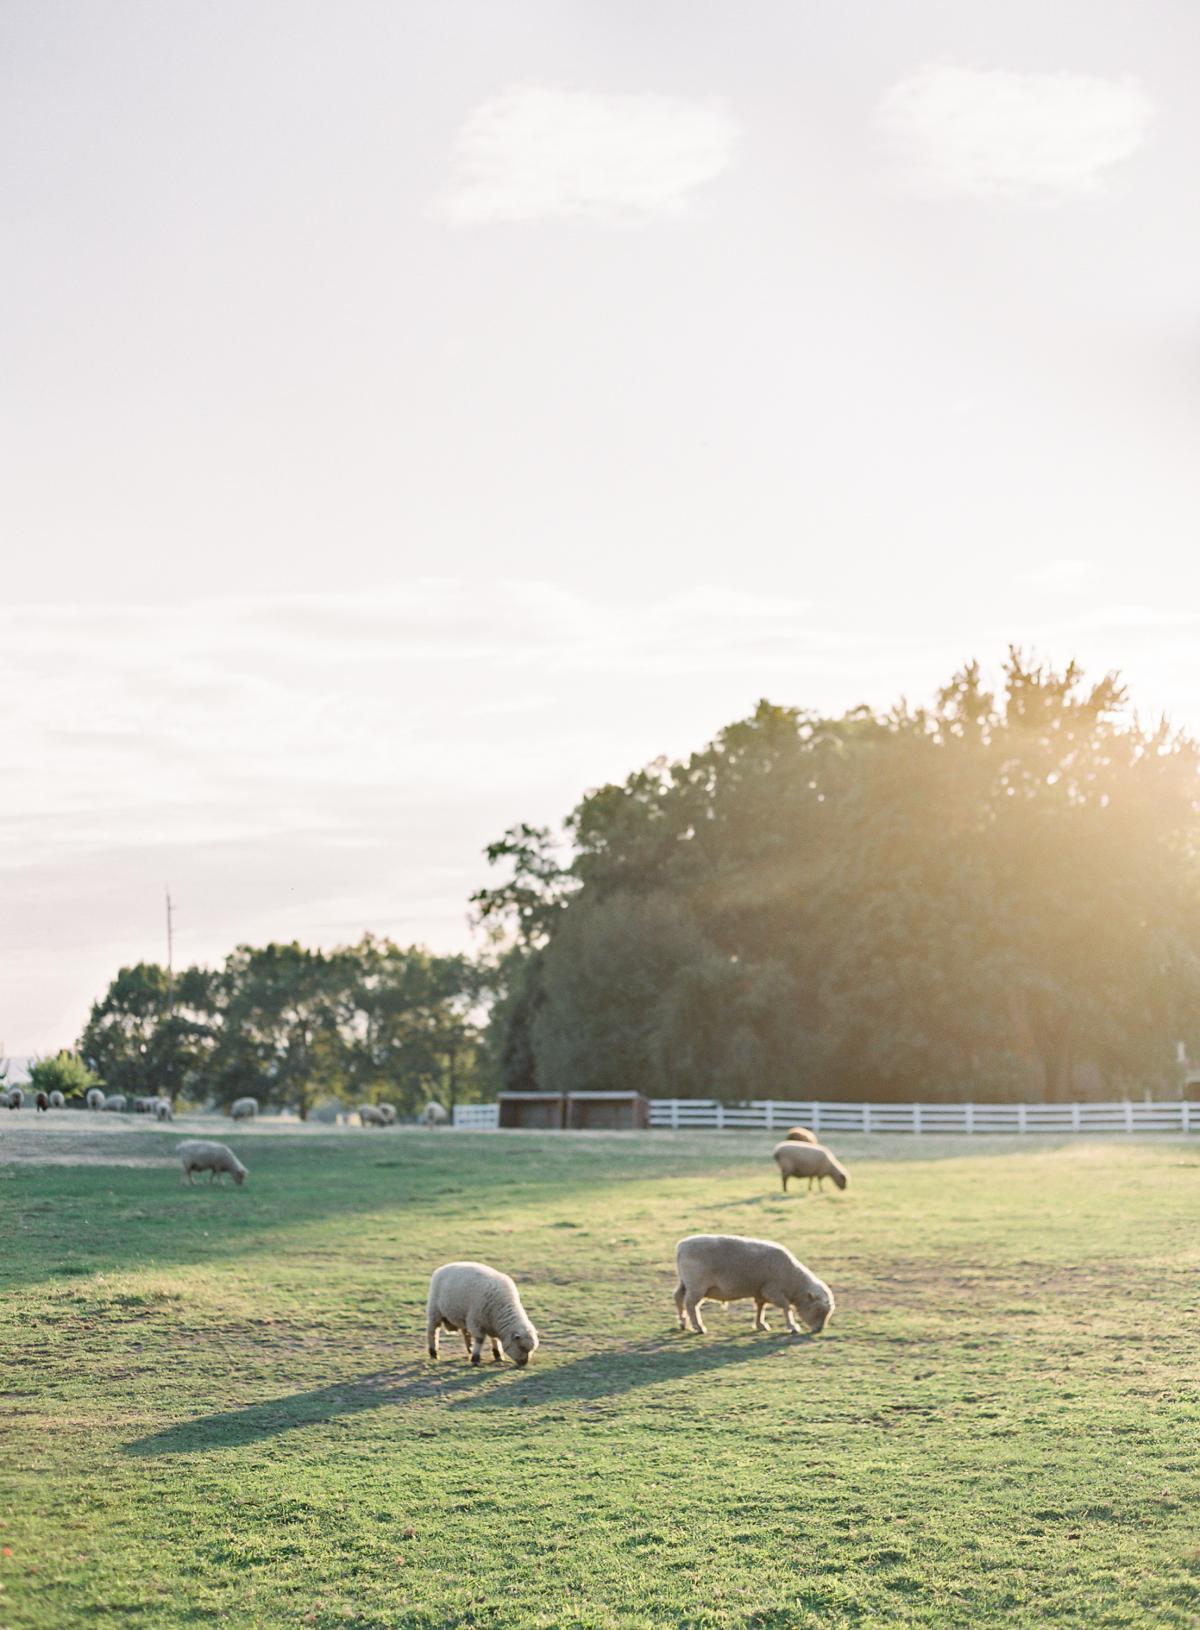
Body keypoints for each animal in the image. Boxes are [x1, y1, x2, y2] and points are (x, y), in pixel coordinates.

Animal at [675, 1232, 834, 1336]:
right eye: (818, 1310)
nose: (819, 1330)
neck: (794, 1280)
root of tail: (681, 1246)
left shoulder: (761, 1292)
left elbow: (760, 1308)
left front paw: (760, 1325)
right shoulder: (773, 1291)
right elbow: (787, 1307)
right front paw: (793, 1327)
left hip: (685, 1283)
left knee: (678, 1297)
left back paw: (683, 1323)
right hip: (697, 1285)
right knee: (690, 1304)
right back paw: (698, 1327)